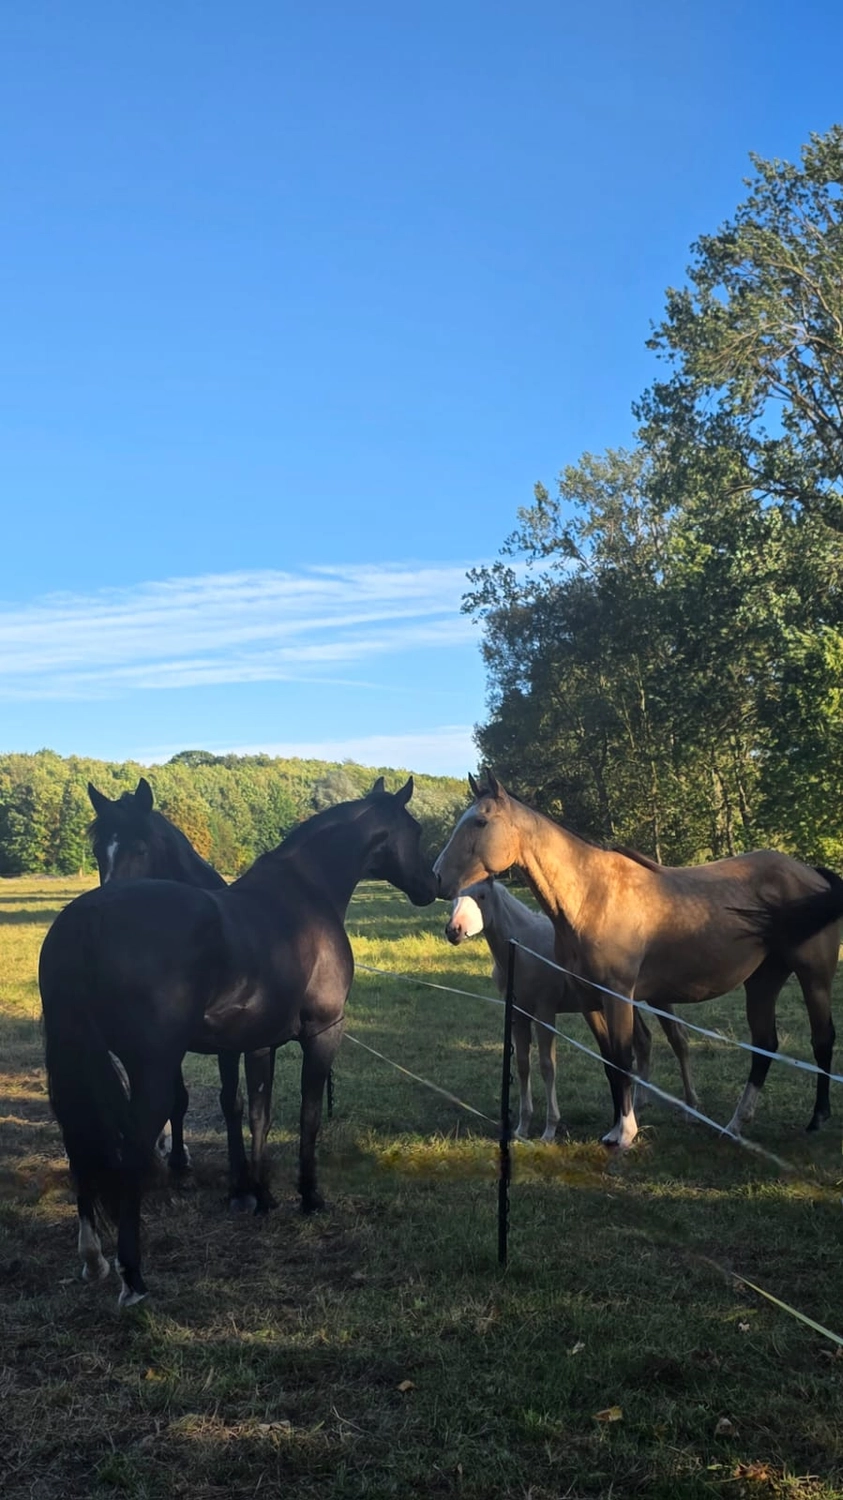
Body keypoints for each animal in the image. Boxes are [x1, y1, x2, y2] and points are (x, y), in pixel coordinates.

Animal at [88, 776, 286, 1212]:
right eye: (97, 851)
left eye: (141, 849)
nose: (110, 910)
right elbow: (178, 1098)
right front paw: (178, 1161)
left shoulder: (230, 1042)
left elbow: (231, 1102)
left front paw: (242, 1187)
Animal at [445, 877, 697, 1141]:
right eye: (453, 897)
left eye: (482, 896)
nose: (453, 931)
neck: (523, 947)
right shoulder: (518, 1014)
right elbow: (523, 1065)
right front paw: (522, 1128)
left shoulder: (545, 1012)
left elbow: (548, 1065)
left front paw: (549, 1130)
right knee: (644, 1040)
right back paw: (639, 1104)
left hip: (657, 999)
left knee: (678, 1040)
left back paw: (690, 1108)